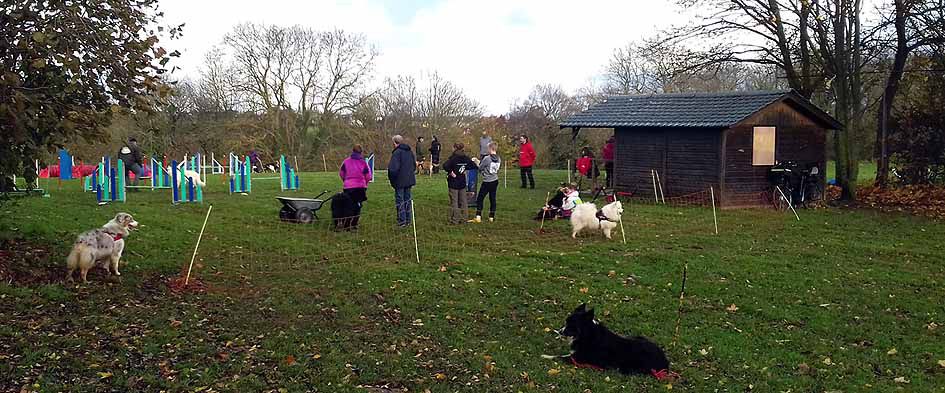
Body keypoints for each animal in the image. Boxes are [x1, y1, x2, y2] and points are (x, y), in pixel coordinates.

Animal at [544, 304, 672, 376]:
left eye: (572, 324)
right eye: (566, 321)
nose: (560, 331)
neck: (588, 334)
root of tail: (665, 361)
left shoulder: (579, 359)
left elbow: (560, 356)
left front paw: (545, 356)